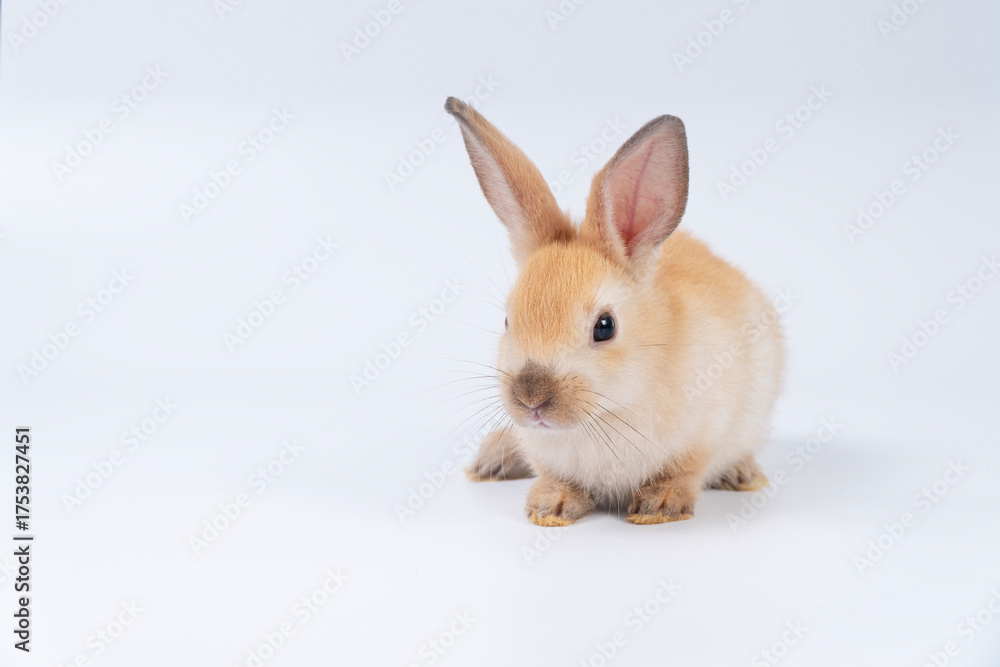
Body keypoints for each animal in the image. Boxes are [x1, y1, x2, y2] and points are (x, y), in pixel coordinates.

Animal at [445, 97, 785, 526]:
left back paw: (743, 475)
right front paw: (549, 507)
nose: (531, 398)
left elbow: (686, 471)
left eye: (604, 327)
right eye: (507, 320)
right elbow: (554, 477)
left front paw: (659, 507)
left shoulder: (703, 434)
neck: (605, 413)